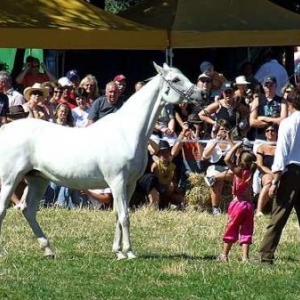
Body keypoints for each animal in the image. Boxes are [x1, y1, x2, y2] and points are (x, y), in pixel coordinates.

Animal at [0, 62, 203, 258]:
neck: (126, 132)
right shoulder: (117, 181)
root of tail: (6, 129)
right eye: (175, 79)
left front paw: (118, 250)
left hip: (38, 179)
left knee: (28, 210)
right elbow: (124, 217)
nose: (201, 94)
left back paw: (48, 250)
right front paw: (128, 252)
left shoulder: (129, 184)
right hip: (11, 180)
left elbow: (118, 215)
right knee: (4, 209)